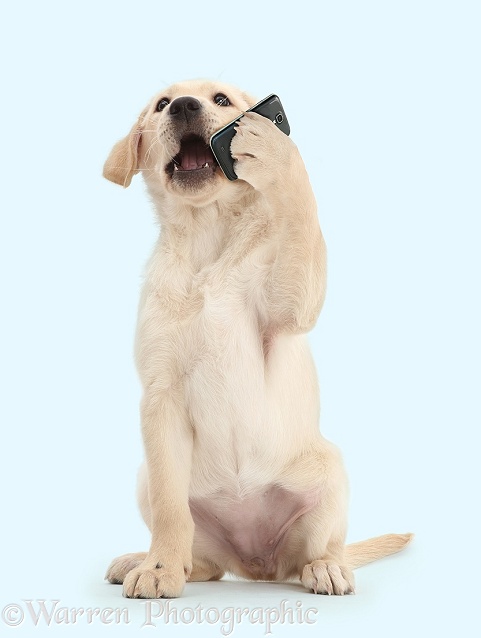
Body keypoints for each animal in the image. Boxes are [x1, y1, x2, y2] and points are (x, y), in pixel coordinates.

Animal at [103, 80, 410, 600]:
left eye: (222, 100)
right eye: (162, 105)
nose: (185, 106)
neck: (206, 241)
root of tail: (256, 565)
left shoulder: (288, 307)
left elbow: (299, 212)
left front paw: (274, 149)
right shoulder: (160, 395)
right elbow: (169, 510)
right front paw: (159, 568)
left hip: (331, 472)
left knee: (320, 550)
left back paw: (327, 568)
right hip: (149, 481)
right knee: (202, 559)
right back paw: (147, 560)